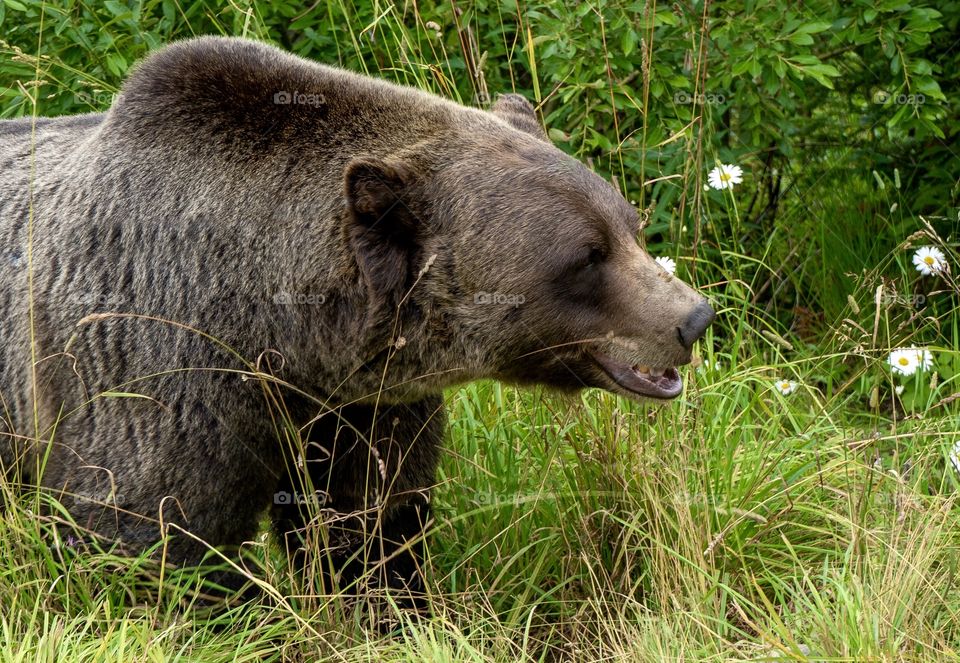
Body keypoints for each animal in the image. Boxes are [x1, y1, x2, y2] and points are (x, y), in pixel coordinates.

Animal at [0, 36, 714, 604]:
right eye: (586, 256)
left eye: (628, 225)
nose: (693, 318)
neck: (284, 338)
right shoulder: (157, 367)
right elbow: (148, 532)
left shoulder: (363, 408)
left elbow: (369, 523)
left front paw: (387, 602)